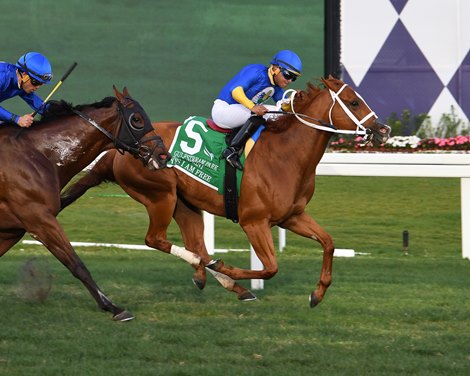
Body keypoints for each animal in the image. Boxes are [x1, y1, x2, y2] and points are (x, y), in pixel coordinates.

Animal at [0, 87, 169, 320]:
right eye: (137, 119)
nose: (163, 155)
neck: (40, 155)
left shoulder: (12, 229)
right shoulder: (39, 220)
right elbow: (77, 264)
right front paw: (113, 307)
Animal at [60, 78, 392, 306]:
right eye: (353, 102)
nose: (384, 130)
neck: (285, 155)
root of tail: (118, 151)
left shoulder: (292, 216)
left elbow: (328, 243)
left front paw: (317, 293)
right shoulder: (253, 221)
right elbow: (270, 268)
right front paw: (229, 269)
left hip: (185, 204)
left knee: (196, 245)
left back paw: (214, 276)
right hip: (160, 196)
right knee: (156, 240)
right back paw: (217, 273)